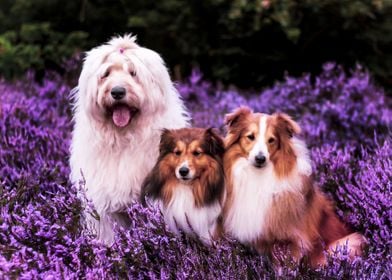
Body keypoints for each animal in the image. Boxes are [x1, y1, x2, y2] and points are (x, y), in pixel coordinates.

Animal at [70, 34, 190, 243]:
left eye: (133, 73)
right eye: (106, 74)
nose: (117, 92)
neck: (124, 138)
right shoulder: (103, 203)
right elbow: (107, 234)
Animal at [222, 106, 366, 266]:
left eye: (271, 140)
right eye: (250, 137)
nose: (260, 159)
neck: (258, 176)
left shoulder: (292, 238)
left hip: (346, 243)